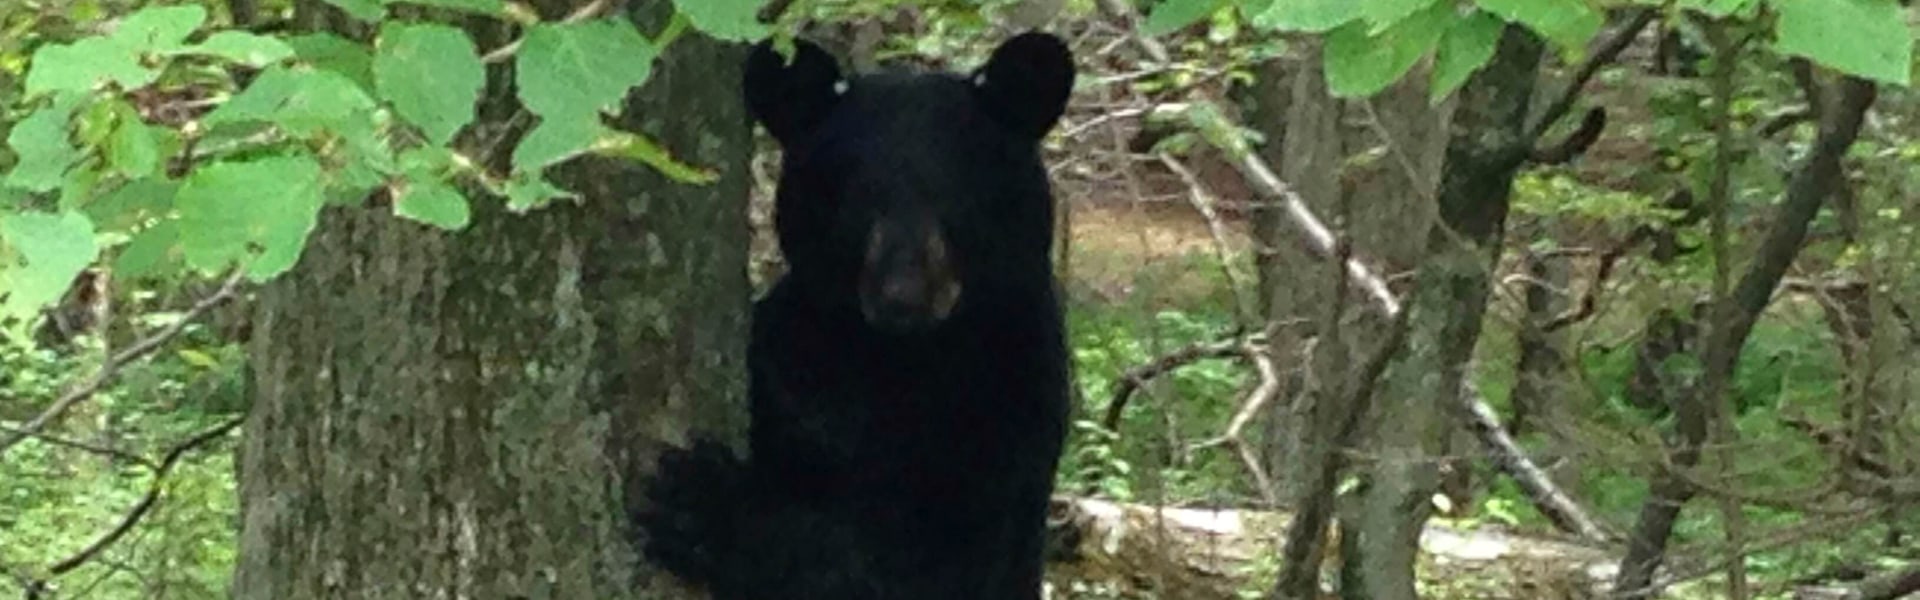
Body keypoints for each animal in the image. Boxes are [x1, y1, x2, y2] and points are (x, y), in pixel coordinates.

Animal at [633, 31, 1075, 600]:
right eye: (854, 197)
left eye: (957, 194)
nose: (902, 295)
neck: (897, 358)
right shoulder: (793, 352)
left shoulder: (1012, 406)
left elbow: (920, 562)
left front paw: (707, 506)